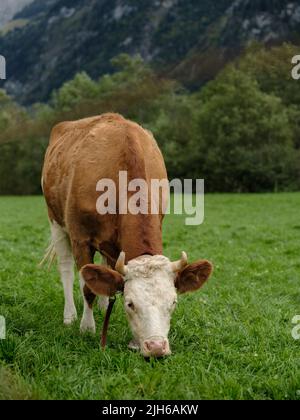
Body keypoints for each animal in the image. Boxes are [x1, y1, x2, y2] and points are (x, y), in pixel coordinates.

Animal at [41, 113, 213, 356]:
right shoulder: (80, 238)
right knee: (66, 269)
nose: (156, 347)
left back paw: (104, 304)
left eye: (173, 303)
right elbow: (87, 288)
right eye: (130, 303)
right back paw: (70, 315)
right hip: (55, 221)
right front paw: (87, 328)